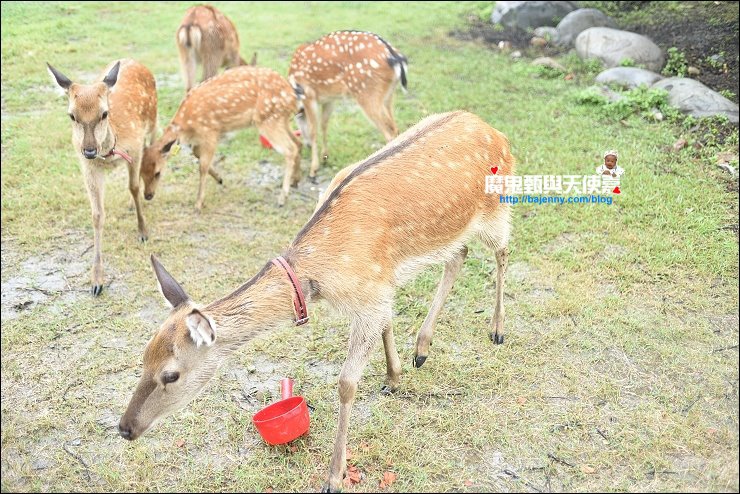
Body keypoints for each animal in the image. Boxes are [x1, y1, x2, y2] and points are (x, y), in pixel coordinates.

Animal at [47, 58, 158, 298]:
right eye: (72, 115)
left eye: (104, 113)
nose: (89, 150)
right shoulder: (88, 166)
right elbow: (97, 215)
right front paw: (96, 281)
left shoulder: (135, 148)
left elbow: (134, 186)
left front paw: (143, 231)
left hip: (154, 119)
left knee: (155, 143)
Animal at [121, 110, 516, 492]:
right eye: (142, 359)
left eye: (170, 374)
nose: (124, 428)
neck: (319, 276)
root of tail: (496, 131)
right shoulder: (380, 286)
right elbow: (388, 322)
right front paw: (394, 376)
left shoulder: (370, 292)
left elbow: (346, 383)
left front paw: (334, 476)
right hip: (454, 231)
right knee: (459, 254)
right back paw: (422, 348)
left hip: (497, 207)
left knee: (502, 252)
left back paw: (497, 330)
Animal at [142, 65, 304, 208]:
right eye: (140, 173)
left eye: (158, 173)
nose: (147, 195)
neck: (187, 126)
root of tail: (292, 94)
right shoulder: (200, 138)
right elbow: (196, 154)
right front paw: (219, 179)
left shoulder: (211, 132)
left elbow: (202, 166)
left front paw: (198, 203)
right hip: (281, 119)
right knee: (298, 142)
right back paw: (295, 181)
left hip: (268, 119)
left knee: (290, 149)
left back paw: (282, 198)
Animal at [288, 30, 408, 181]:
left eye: (298, 118)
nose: (307, 145)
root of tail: (396, 58)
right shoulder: (329, 99)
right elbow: (324, 124)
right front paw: (324, 157)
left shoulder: (309, 95)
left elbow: (313, 129)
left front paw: (313, 170)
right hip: (388, 95)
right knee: (395, 127)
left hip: (367, 93)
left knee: (389, 132)